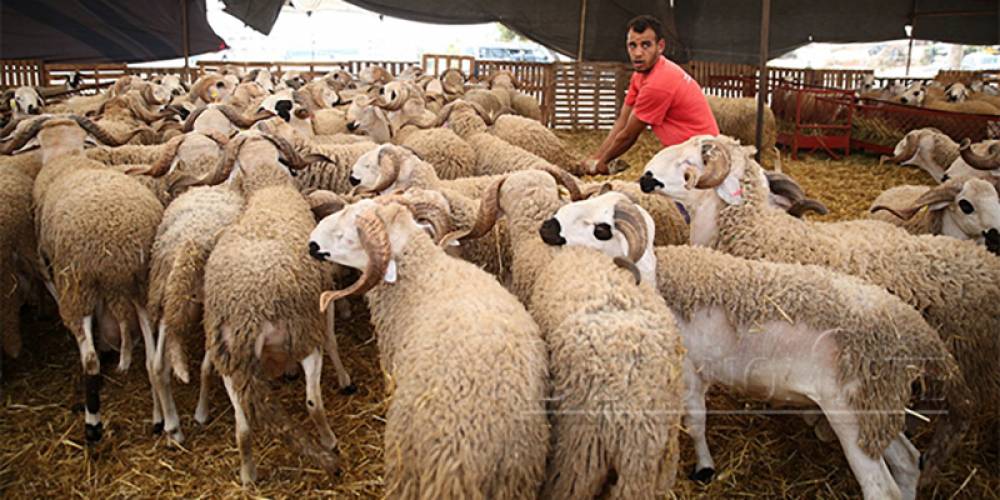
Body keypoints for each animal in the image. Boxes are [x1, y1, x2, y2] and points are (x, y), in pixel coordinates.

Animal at [9, 115, 168, 444]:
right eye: (41, 140)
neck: (67, 156)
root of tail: (117, 246)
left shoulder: (51, 262)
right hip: (141, 286)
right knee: (151, 360)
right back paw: (158, 420)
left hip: (79, 284)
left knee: (90, 360)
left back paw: (92, 424)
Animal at [198, 130, 348, 484]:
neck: (269, 188)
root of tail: (247, 313)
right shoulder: (322, 301)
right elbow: (332, 340)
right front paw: (344, 377)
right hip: (301, 334)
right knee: (313, 402)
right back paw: (329, 442)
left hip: (229, 361)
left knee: (242, 426)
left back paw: (248, 475)